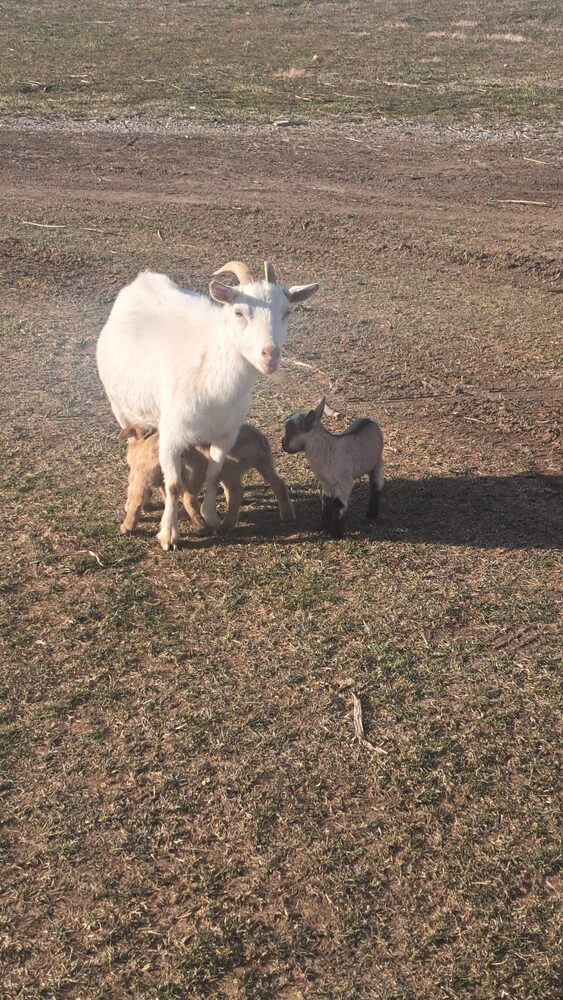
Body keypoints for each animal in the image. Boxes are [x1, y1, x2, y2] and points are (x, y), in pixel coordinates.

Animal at [119, 425, 295, 536]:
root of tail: (258, 438)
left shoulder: (141, 478)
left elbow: (136, 500)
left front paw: (127, 526)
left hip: (225, 470)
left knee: (234, 493)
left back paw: (223, 525)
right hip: (263, 463)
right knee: (278, 483)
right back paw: (286, 513)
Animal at [281, 398, 384, 538]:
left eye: (290, 432)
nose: (283, 445)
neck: (327, 450)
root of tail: (369, 420)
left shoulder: (344, 482)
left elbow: (338, 505)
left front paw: (336, 533)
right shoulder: (326, 483)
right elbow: (326, 502)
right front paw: (323, 528)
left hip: (377, 461)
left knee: (376, 484)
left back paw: (371, 513)